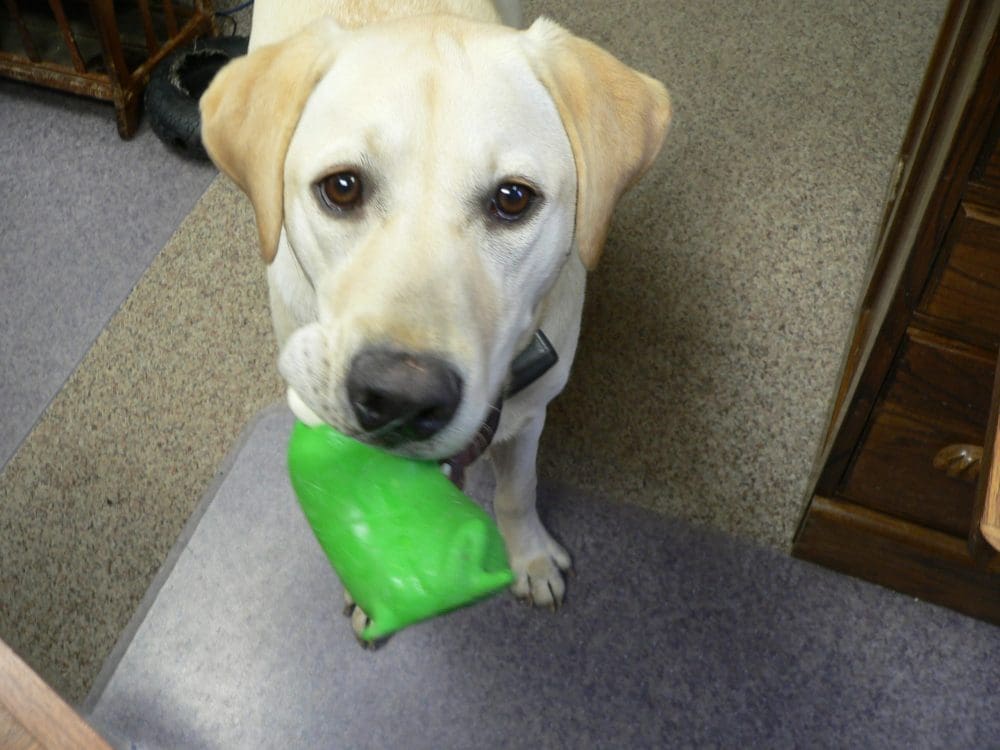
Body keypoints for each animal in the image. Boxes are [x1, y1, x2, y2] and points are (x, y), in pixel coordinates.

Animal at [200, 0, 670, 634]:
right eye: (341, 188)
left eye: (513, 199)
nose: (401, 397)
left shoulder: (529, 411)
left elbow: (517, 491)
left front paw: (530, 558)